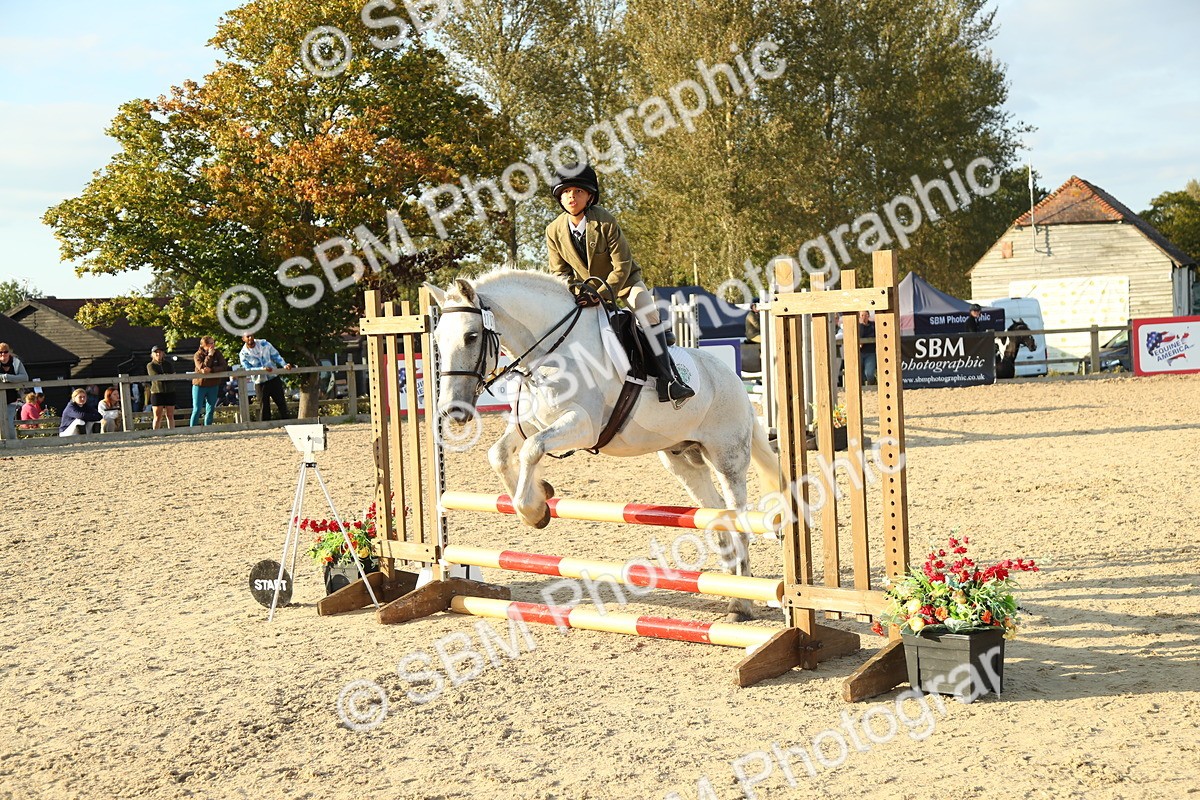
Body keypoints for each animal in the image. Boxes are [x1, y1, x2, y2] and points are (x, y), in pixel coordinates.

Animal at [426, 269, 781, 621]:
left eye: (471, 336)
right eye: (437, 341)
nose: (451, 410)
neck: (553, 352)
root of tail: (734, 380)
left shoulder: (582, 425)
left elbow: (532, 449)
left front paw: (533, 510)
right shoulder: (533, 422)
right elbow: (499, 453)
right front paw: (540, 498)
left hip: (727, 457)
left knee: (739, 519)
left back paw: (742, 604)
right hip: (682, 460)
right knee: (718, 514)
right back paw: (732, 588)